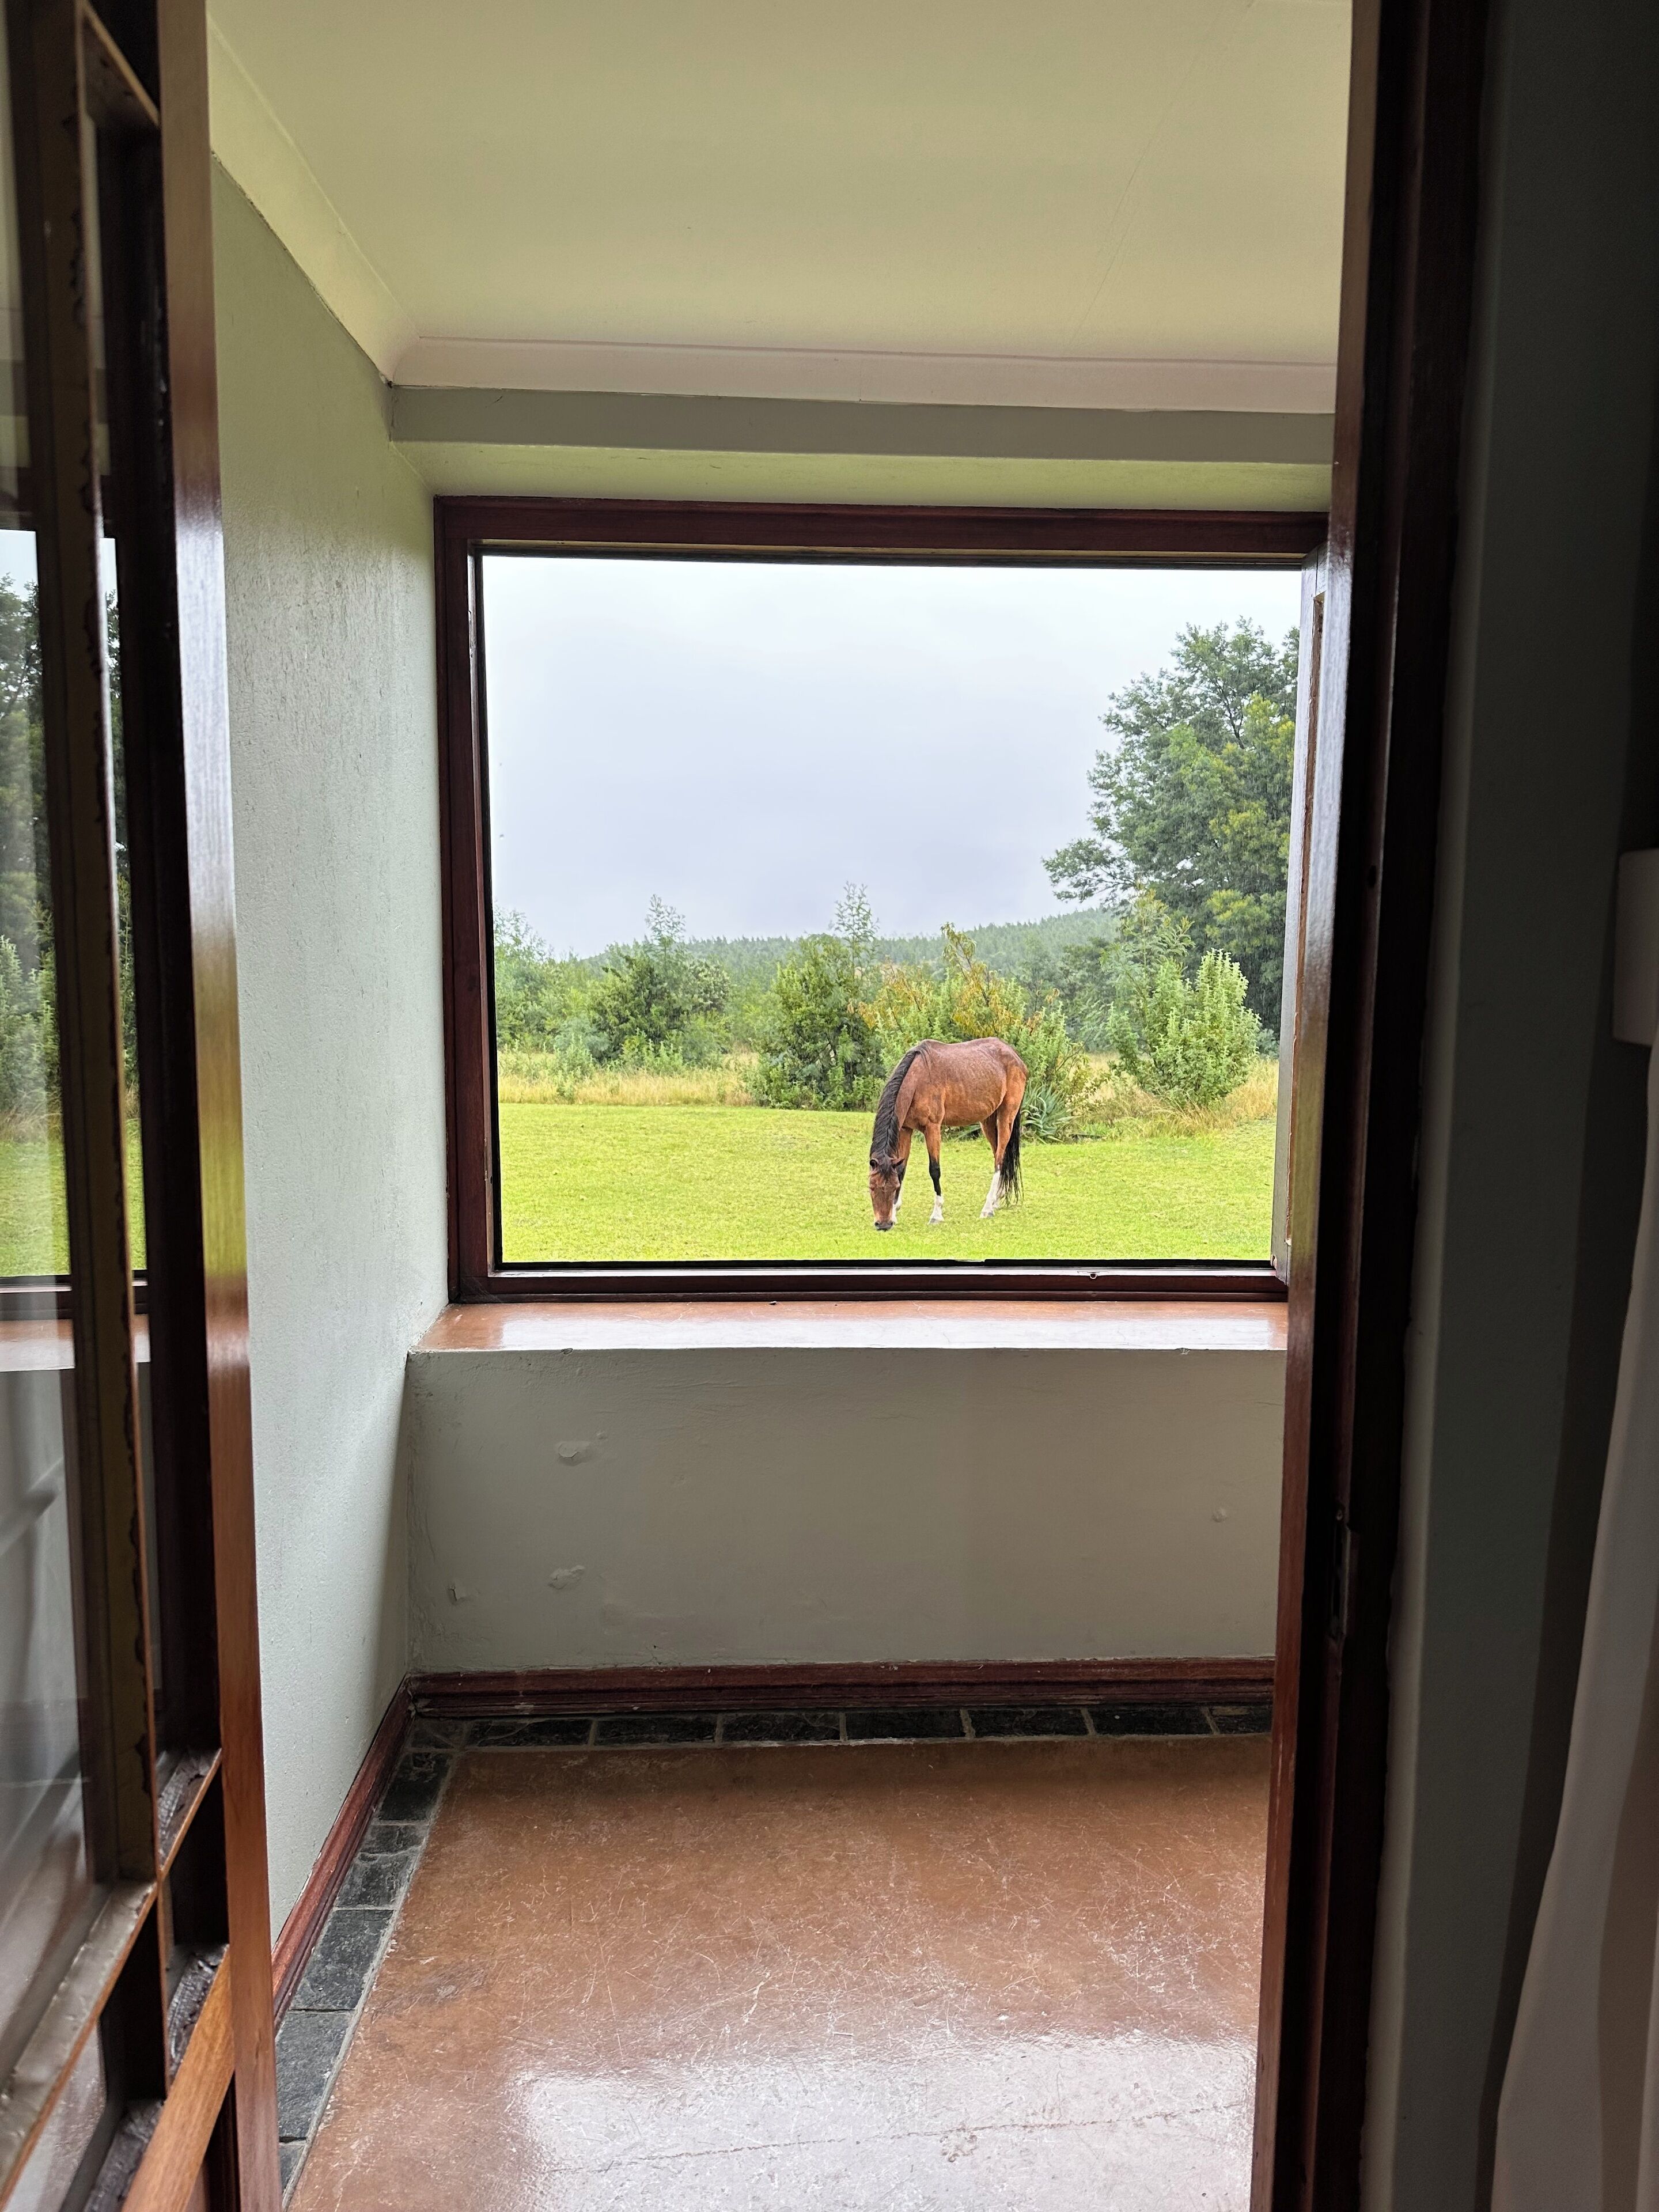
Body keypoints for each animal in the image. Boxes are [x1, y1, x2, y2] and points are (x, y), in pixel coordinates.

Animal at [868, 1038, 1027, 1231]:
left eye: (892, 1187)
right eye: (872, 1187)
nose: (883, 1225)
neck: (918, 1079)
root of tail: (1014, 1056)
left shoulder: (933, 1128)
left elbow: (934, 1170)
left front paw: (936, 1214)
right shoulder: (905, 1130)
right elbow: (901, 1169)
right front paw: (895, 1214)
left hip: (1006, 1116)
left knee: (999, 1160)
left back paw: (988, 1208)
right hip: (988, 1121)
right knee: (1000, 1155)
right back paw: (997, 1199)